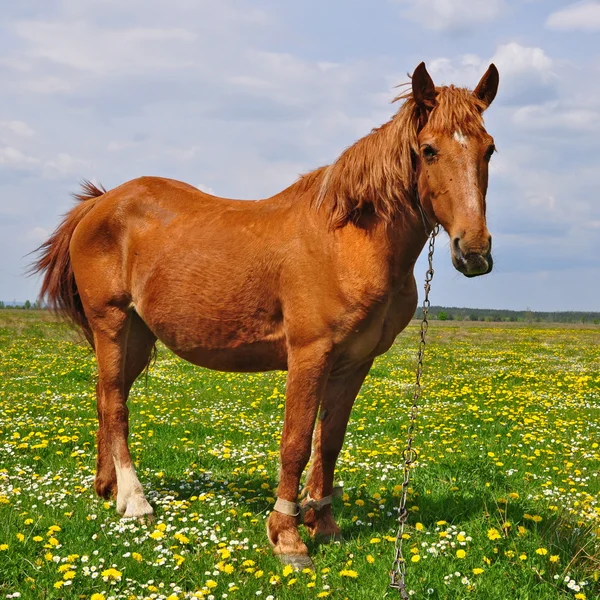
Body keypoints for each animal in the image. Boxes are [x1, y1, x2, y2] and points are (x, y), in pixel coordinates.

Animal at [34, 62, 502, 568]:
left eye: (489, 149)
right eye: (429, 149)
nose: (474, 251)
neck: (347, 239)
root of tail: (99, 203)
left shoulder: (354, 363)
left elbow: (329, 443)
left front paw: (325, 525)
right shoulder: (309, 355)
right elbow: (296, 443)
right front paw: (288, 536)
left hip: (137, 338)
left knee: (106, 396)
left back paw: (107, 488)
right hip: (112, 323)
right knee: (116, 405)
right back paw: (134, 499)